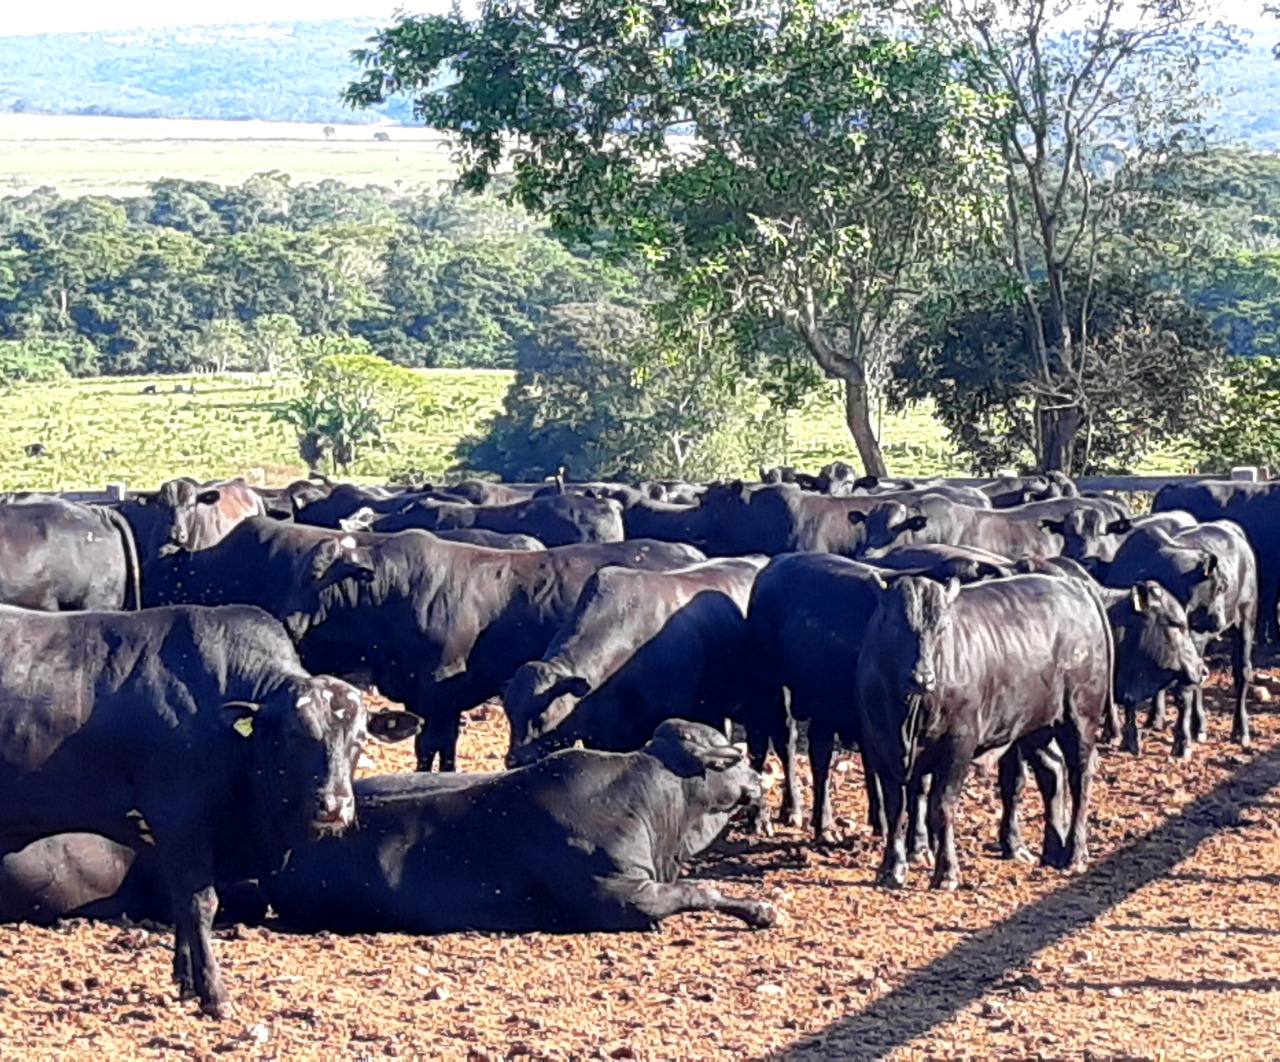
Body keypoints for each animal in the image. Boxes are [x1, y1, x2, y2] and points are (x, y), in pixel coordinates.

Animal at [0, 603, 419, 1018]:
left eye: (360, 738)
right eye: (295, 733)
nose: (335, 805)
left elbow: (180, 904)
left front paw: (186, 980)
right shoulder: (180, 821)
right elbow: (200, 903)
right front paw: (214, 994)